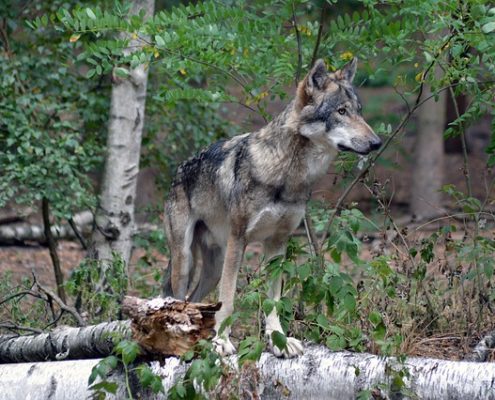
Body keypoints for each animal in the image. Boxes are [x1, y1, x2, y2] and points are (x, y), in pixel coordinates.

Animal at [162, 57, 380, 358]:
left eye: (359, 111)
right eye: (341, 111)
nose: (377, 143)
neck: (288, 173)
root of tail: (179, 169)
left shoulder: (278, 243)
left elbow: (273, 301)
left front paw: (280, 341)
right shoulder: (239, 240)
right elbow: (228, 300)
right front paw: (221, 341)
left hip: (213, 267)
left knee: (195, 301)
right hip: (185, 261)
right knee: (178, 299)